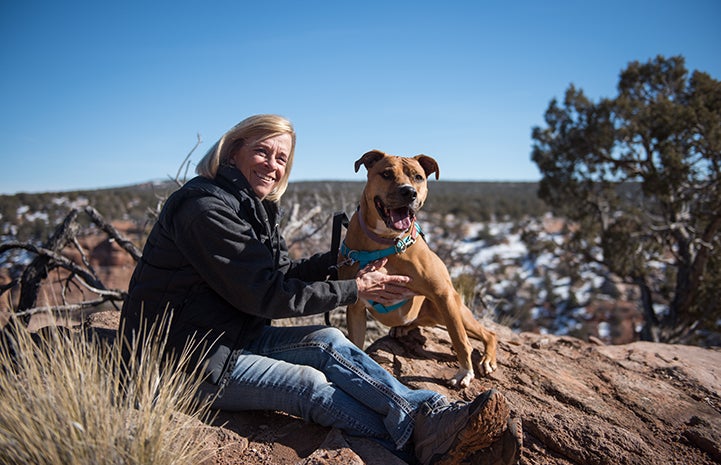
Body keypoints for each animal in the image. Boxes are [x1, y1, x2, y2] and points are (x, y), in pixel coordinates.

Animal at [336, 150, 496, 386]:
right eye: (386, 174)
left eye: (418, 177)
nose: (409, 192)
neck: (385, 241)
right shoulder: (356, 305)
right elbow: (355, 343)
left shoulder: (443, 294)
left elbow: (459, 338)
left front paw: (465, 372)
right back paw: (403, 328)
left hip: (452, 310)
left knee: (487, 333)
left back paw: (487, 359)